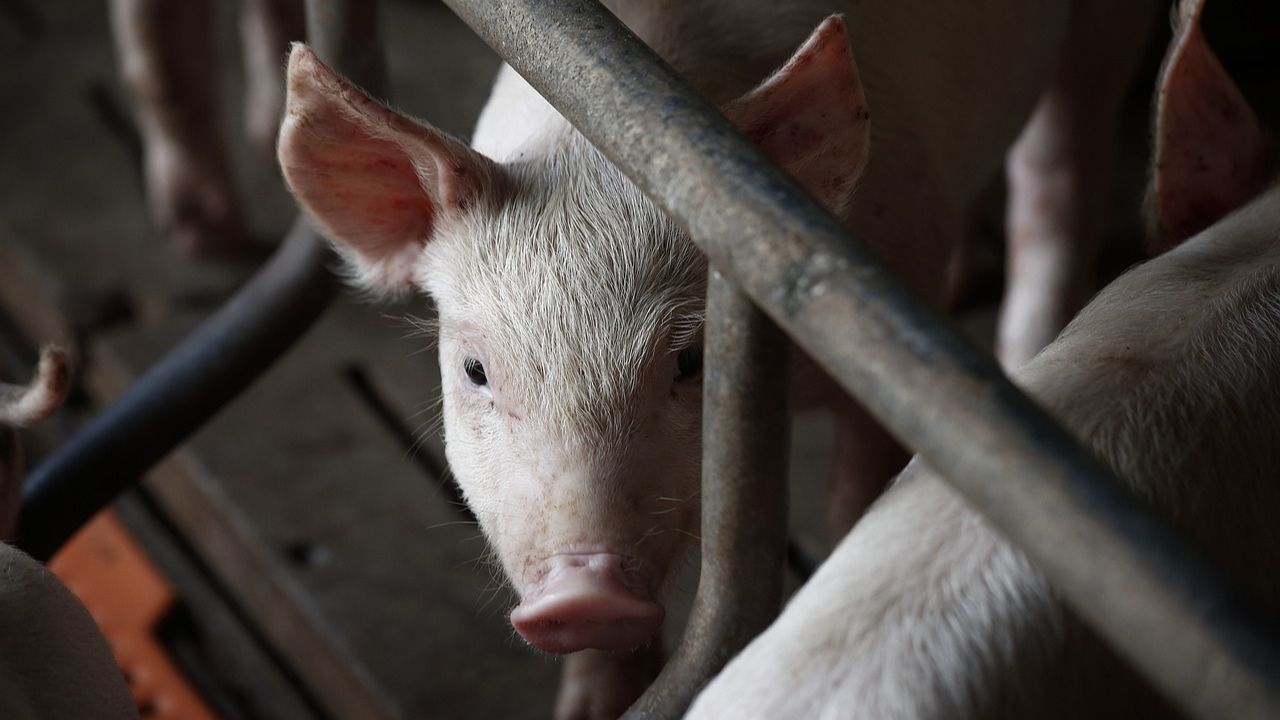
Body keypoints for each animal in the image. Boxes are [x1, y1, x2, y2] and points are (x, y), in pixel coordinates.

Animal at [276, 1, 1147, 716]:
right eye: (476, 372)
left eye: (690, 362)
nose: (582, 594)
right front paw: (586, 709)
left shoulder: (890, 332)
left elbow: (857, 491)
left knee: (1060, 172)